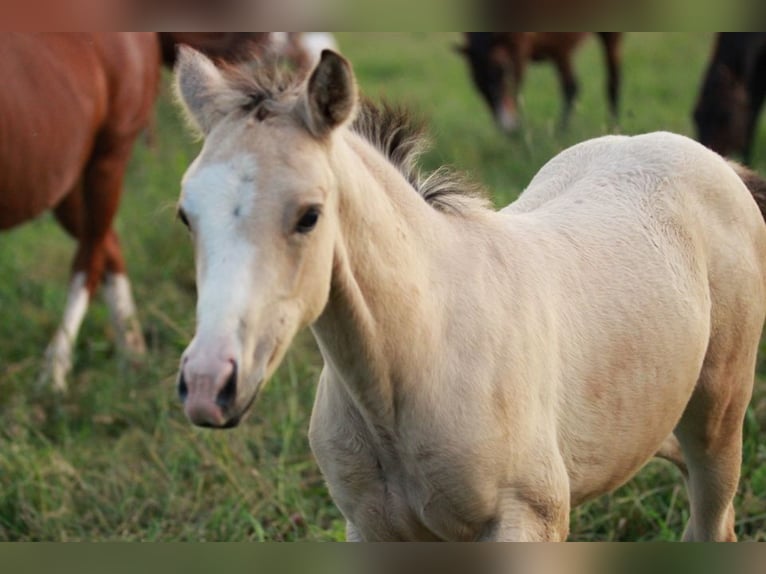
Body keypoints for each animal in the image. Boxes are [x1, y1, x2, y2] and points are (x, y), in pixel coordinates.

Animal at [0, 32, 160, 392]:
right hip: (61, 181)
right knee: (108, 245)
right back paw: (133, 357)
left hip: (109, 157)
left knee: (90, 258)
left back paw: (54, 376)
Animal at [172, 47, 766, 544]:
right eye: (186, 215)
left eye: (309, 215)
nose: (207, 383)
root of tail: (715, 161)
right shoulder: (371, 528)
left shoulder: (529, 520)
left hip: (719, 421)